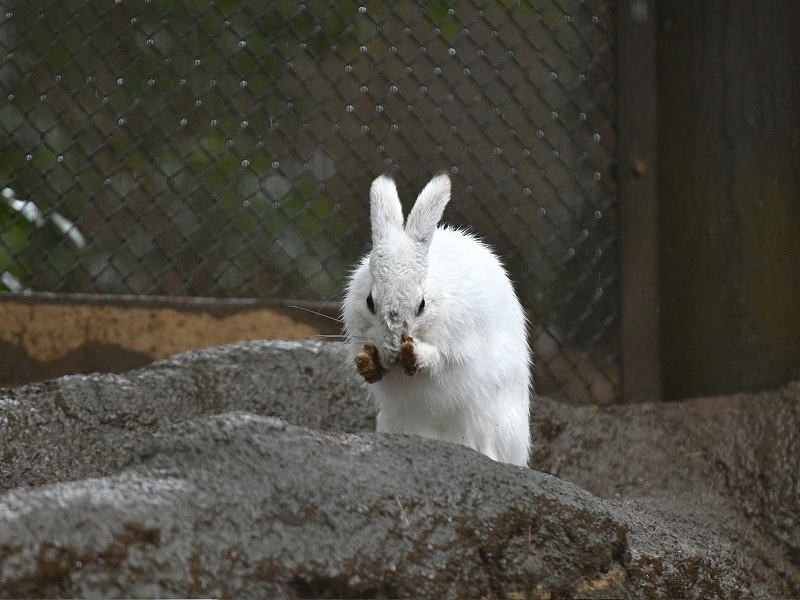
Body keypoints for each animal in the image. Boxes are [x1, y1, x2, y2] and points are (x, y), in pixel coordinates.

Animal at [342, 171, 532, 466]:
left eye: (421, 305)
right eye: (370, 302)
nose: (392, 351)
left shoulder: (459, 346)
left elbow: (441, 361)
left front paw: (415, 354)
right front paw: (368, 364)